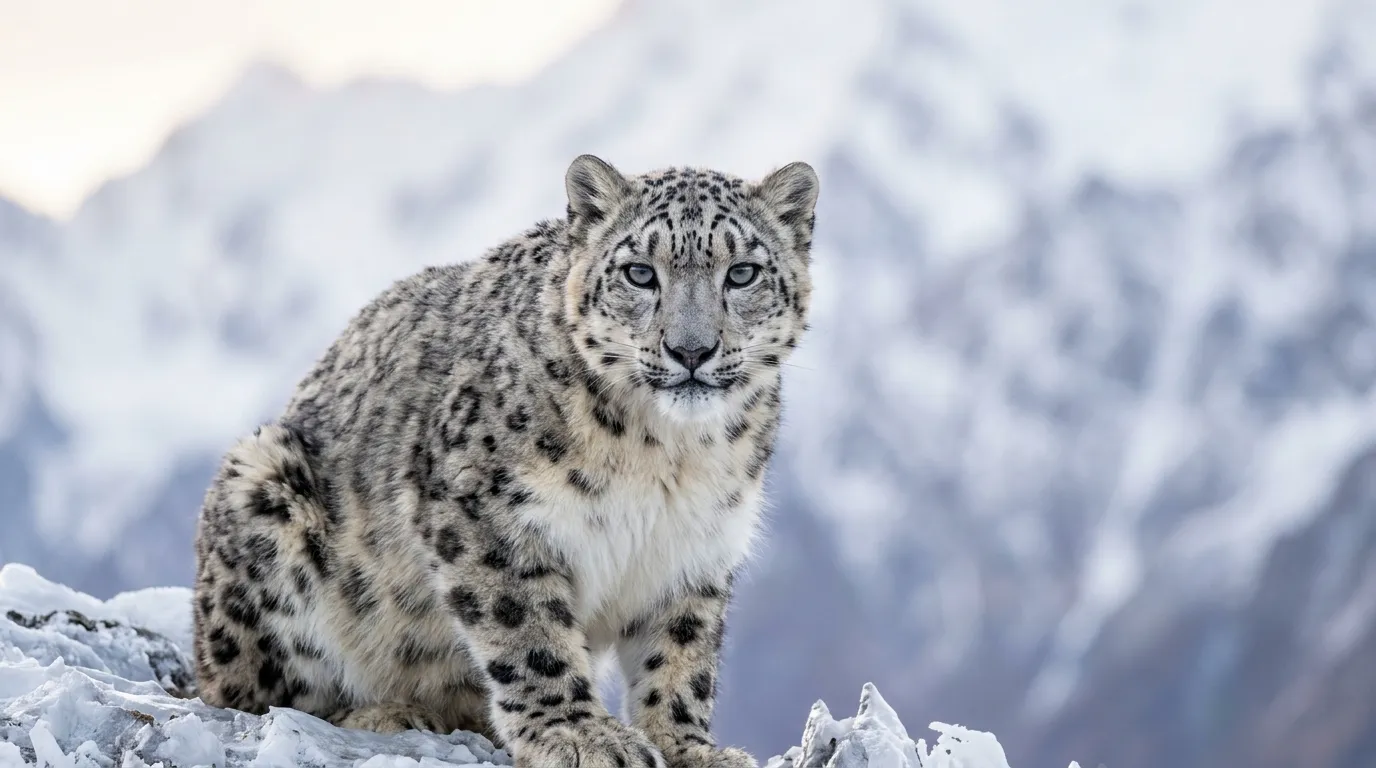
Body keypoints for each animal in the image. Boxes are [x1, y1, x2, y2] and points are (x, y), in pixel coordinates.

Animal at [190, 154, 819, 768]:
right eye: (640, 272)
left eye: (743, 273)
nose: (692, 350)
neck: (670, 456)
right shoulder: (488, 514)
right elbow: (527, 627)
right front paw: (580, 736)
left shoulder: (695, 546)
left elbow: (681, 652)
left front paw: (687, 746)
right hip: (265, 494)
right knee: (261, 695)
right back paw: (390, 712)